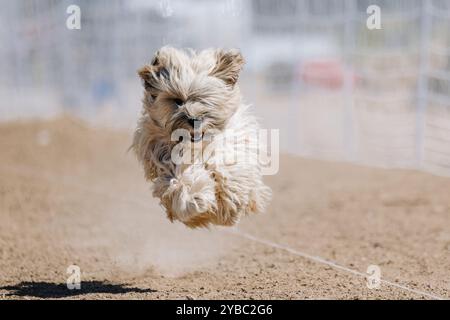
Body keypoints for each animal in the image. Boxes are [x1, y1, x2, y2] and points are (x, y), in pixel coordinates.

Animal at [130, 47, 270, 228]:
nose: (194, 119)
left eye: (205, 99)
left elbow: (228, 167)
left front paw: (229, 201)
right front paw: (195, 198)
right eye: (178, 101)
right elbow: (181, 181)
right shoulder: (164, 161)